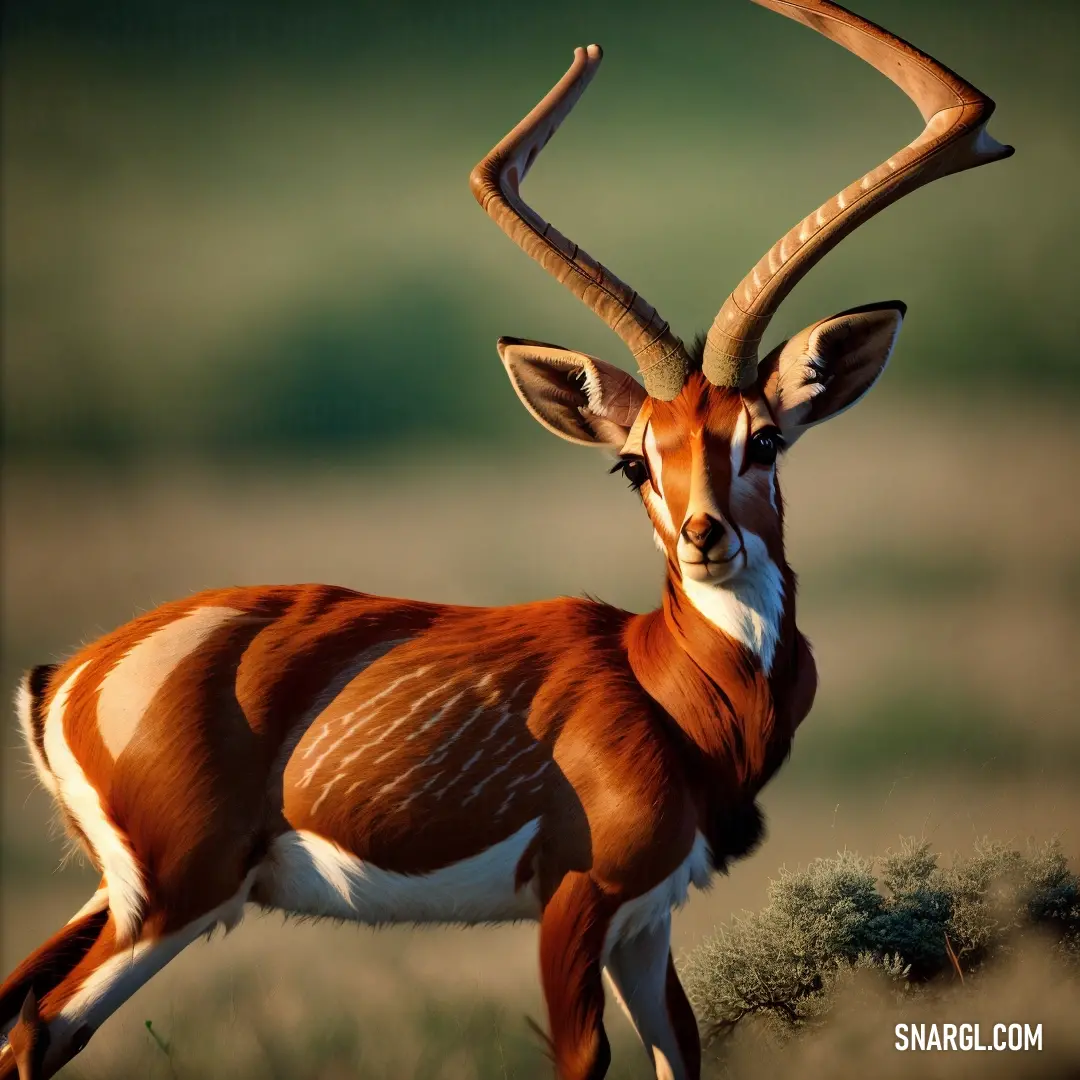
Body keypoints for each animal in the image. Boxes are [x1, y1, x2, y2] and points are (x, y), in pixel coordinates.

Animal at [2, 2, 1010, 1080]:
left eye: (765, 438)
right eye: (636, 462)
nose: (706, 539)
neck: (664, 690)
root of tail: (68, 678)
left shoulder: (648, 918)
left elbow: (682, 1051)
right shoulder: (575, 901)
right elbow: (584, 1058)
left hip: (124, 897)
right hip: (172, 897)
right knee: (39, 1027)